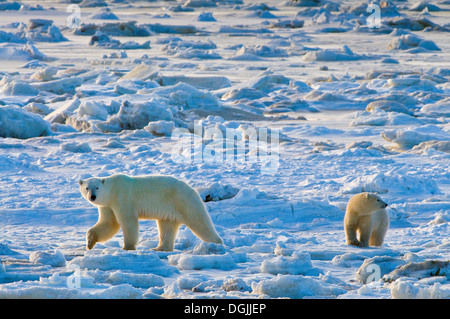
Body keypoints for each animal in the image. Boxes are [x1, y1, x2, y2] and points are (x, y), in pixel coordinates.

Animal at [80, 175, 224, 252]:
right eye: (86, 188)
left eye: (97, 187)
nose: (92, 196)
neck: (112, 190)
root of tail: (192, 189)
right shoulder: (107, 205)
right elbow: (108, 223)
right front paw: (90, 242)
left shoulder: (122, 198)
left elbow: (128, 221)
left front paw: (127, 247)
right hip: (170, 211)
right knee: (167, 228)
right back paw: (159, 248)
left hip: (184, 202)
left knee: (200, 223)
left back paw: (217, 244)